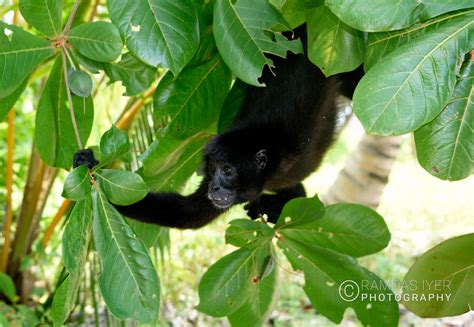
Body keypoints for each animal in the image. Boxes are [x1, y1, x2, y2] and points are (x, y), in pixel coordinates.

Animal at [74, 26, 362, 229]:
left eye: (228, 171)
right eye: (212, 170)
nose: (214, 187)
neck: (271, 161)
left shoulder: (294, 146)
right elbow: (189, 214)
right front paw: (89, 163)